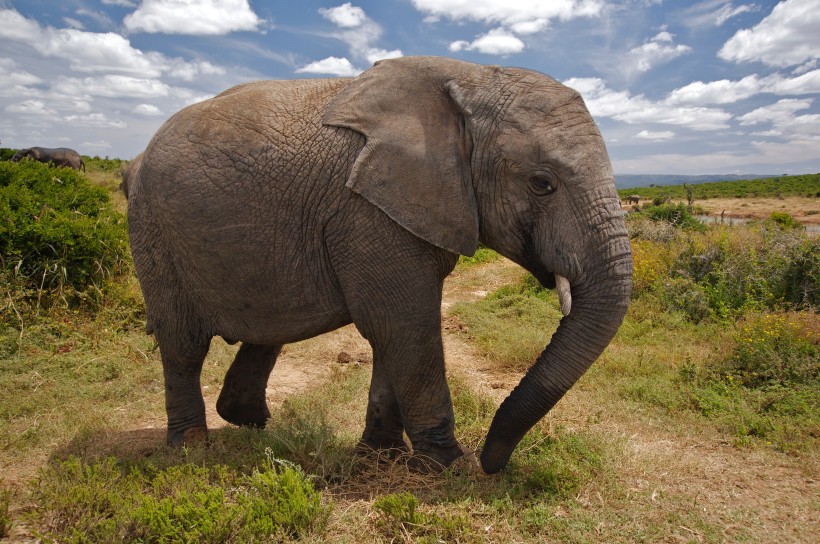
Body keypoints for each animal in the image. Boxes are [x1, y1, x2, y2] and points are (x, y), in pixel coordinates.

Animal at [123, 54, 636, 472]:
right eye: (542, 183)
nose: (492, 463)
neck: (473, 79)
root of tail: (135, 159)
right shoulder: (367, 210)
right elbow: (405, 325)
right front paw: (447, 466)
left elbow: (395, 330)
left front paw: (381, 457)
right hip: (153, 230)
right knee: (183, 344)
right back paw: (190, 449)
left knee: (268, 328)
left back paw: (249, 423)